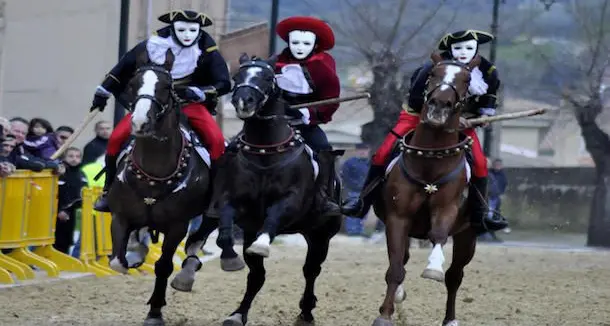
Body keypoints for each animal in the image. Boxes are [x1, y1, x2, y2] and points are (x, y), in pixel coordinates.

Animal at [105, 49, 241, 326]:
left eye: (166, 87)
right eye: (133, 84)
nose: (140, 122)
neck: (155, 169)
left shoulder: (177, 225)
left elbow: (164, 265)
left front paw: (155, 312)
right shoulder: (120, 216)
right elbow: (117, 262)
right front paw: (133, 255)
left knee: (196, 242)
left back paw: (189, 273)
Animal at [210, 54, 342, 324]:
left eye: (267, 77)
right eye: (237, 76)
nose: (244, 101)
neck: (265, 153)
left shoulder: (290, 202)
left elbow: (273, 218)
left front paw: (262, 243)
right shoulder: (236, 204)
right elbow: (227, 225)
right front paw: (229, 257)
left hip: (321, 234)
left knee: (311, 270)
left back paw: (306, 311)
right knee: (256, 277)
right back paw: (238, 314)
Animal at [370, 52, 480, 324]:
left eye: (466, 79)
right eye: (433, 74)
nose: (439, 105)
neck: (430, 162)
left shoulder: (447, 207)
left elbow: (438, 235)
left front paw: (433, 268)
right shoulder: (397, 217)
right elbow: (395, 268)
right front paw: (385, 314)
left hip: (468, 235)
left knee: (455, 276)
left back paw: (450, 318)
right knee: (401, 260)